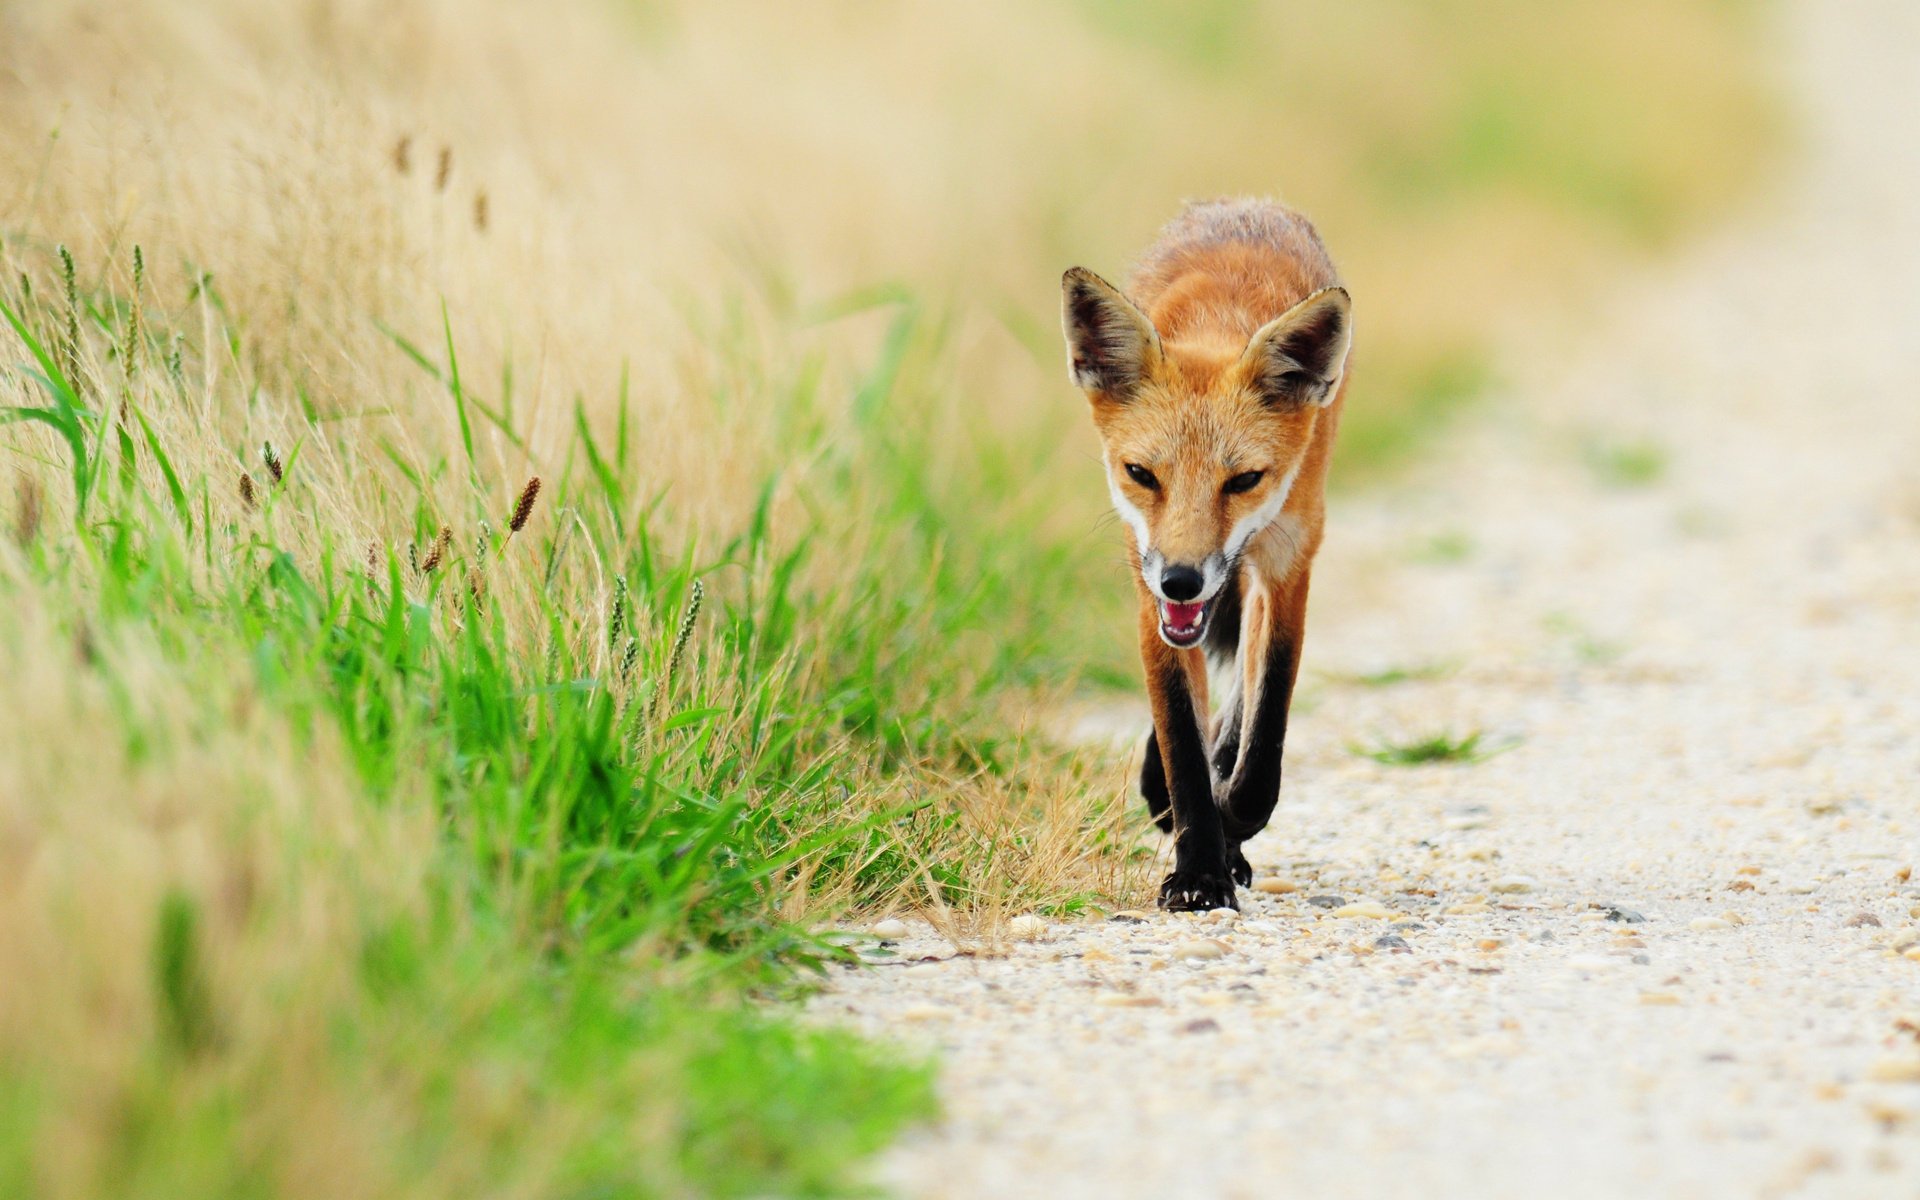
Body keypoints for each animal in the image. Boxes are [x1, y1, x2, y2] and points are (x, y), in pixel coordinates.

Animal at [1060, 198, 1352, 912]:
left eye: (1243, 480)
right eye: (1141, 473)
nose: (1182, 581)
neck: (1221, 316)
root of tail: (1248, 202)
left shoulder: (1290, 562)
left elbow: (1262, 726)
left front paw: (1230, 826)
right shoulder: (1147, 582)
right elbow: (1181, 742)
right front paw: (1197, 870)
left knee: (1238, 701)